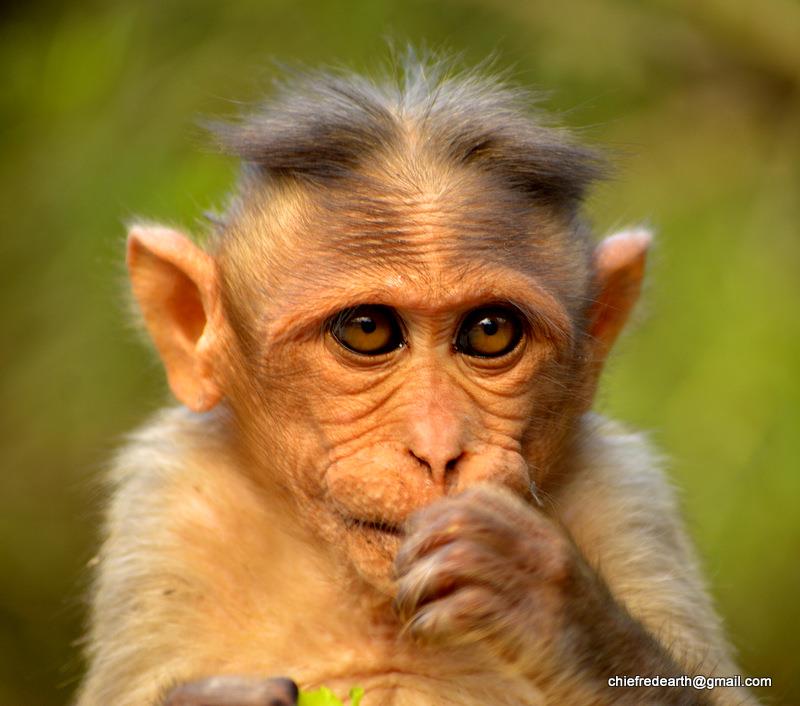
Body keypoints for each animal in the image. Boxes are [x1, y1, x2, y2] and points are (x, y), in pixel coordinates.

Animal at [76, 56, 756, 704]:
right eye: (368, 328)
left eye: (490, 331)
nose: (437, 450)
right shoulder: (172, 508)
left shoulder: (629, 498)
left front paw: (544, 600)